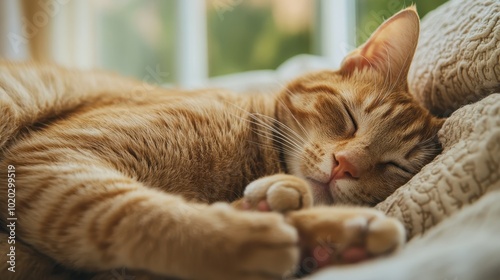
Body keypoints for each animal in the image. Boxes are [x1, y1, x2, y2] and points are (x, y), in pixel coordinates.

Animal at [0, 6, 446, 280]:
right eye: (349, 117)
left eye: (394, 165)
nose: (344, 165)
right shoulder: (52, 158)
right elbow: (131, 212)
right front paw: (246, 236)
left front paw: (325, 232)